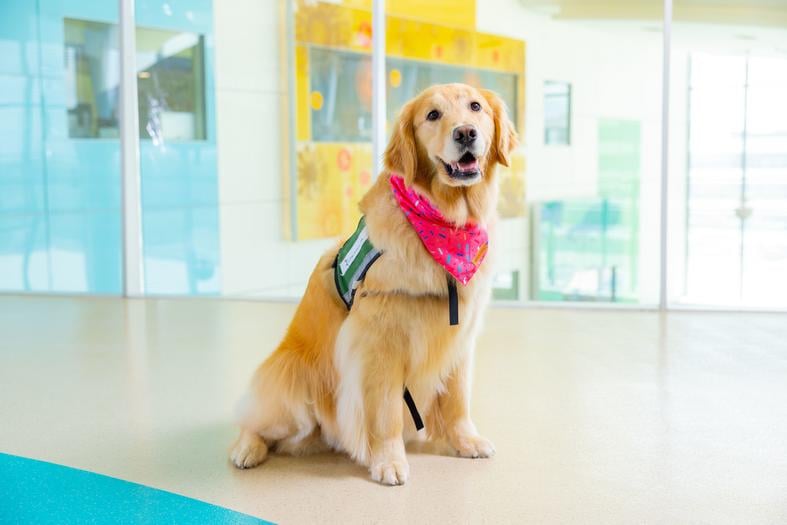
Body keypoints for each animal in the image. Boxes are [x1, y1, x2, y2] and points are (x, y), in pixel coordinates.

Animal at [231, 83, 520, 484]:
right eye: (432, 115)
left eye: (475, 107)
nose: (465, 133)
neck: (445, 225)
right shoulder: (380, 344)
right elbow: (385, 413)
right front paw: (389, 461)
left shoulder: (460, 338)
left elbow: (458, 399)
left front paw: (466, 441)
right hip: (292, 380)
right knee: (251, 418)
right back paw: (247, 449)